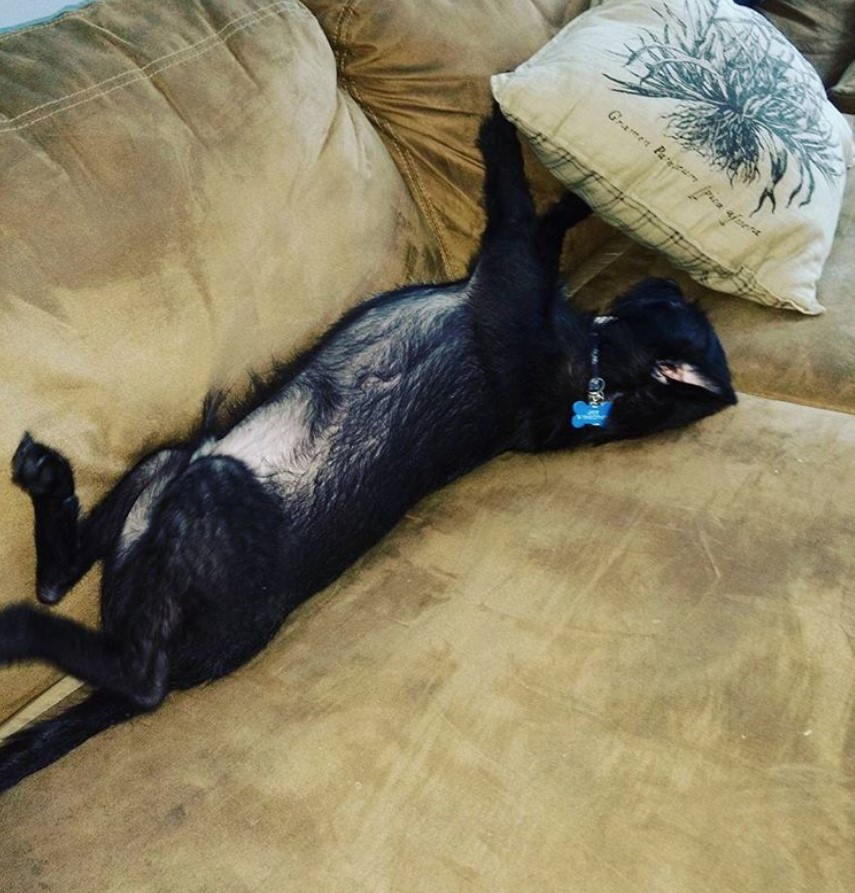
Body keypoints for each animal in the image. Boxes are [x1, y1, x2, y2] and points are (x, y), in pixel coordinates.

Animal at [0, 110, 736, 788]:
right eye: (673, 298)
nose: (672, 282)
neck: (594, 376)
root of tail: (186, 665)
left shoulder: (508, 265)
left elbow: (515, 200)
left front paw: (502, 132)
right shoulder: (521, 271)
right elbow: (546, 226)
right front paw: (578, 198)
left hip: (208, 492)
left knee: (136, 671)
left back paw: (30, 625)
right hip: (165, 472)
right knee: (59, 577)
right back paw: (47, 483)